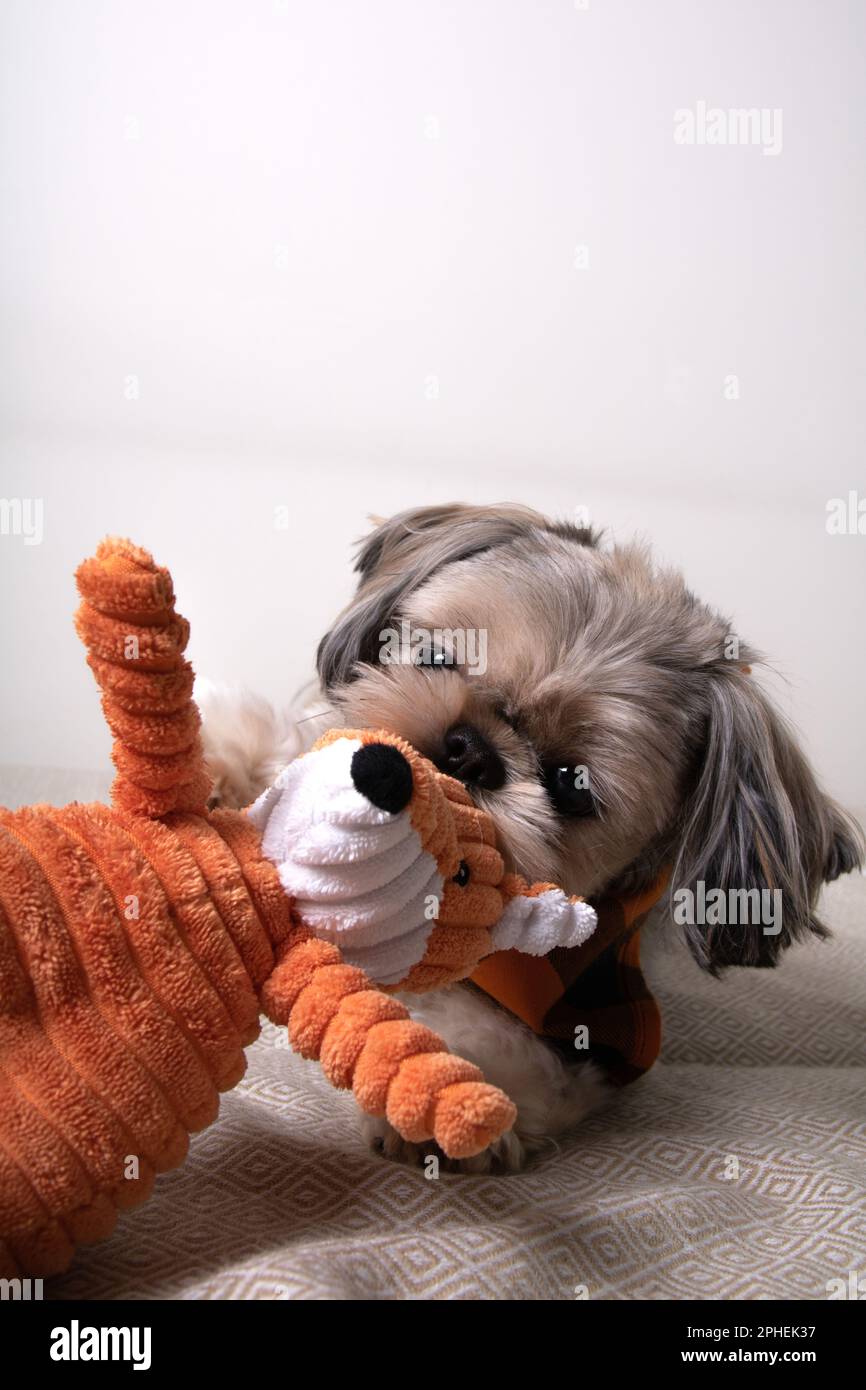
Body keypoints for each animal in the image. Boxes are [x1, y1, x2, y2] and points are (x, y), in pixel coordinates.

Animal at [198, 505, 866, 1167]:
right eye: (435, 657)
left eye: (571, 784)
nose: (469, 749)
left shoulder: (591, 1031)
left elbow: (497, 1046)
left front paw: (437, 1095)